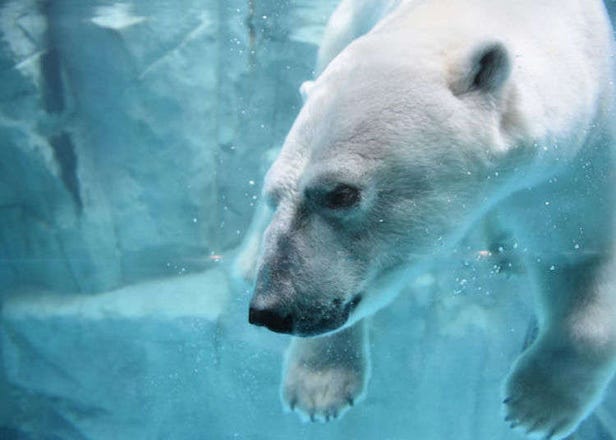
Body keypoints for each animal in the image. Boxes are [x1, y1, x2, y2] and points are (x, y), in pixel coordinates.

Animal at [244, 1, 616, 438]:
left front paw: (537, 407)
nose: (268, 310)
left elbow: (579, 252)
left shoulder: (579, 163)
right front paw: (319, 387)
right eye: (273, 197)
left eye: (342, 193)